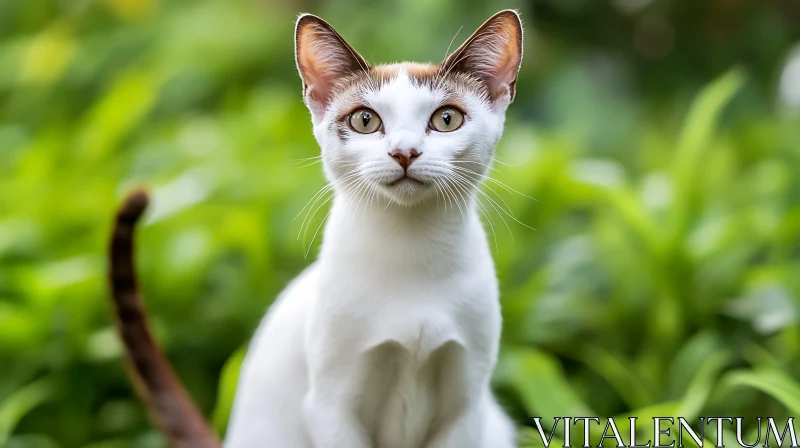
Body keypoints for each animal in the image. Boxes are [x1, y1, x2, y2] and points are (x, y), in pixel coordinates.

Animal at [111, 7, 524, 448]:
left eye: (446, 119)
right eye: (365, 120)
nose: (404, 152)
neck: (412, 252)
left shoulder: (464, 408)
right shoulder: (331, 406)